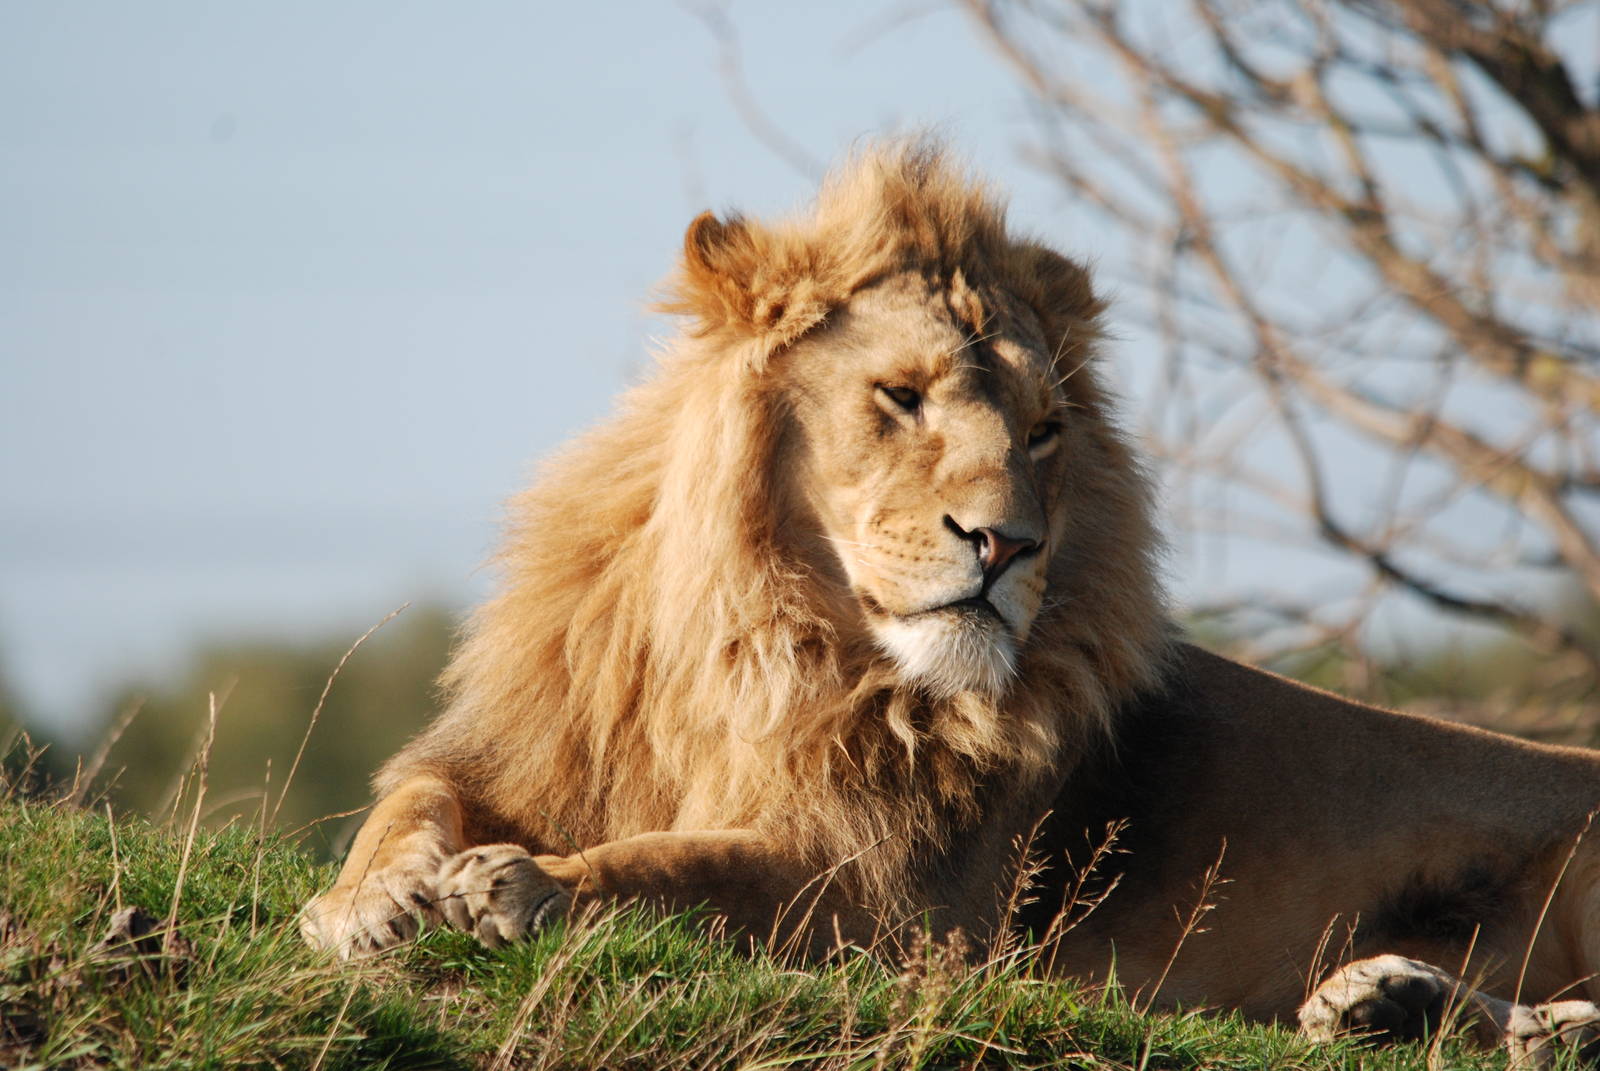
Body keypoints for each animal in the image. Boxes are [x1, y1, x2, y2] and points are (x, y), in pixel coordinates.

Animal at [301, 141, 1600, 1064]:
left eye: (1042, 431)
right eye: (901, 396)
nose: (1006, 541)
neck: (762, 639)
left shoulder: (903, 906)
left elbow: (691, 868)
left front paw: (533, 884)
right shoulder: (522, 756)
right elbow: (410, 800)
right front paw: (365, 903)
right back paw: (1387, 998)